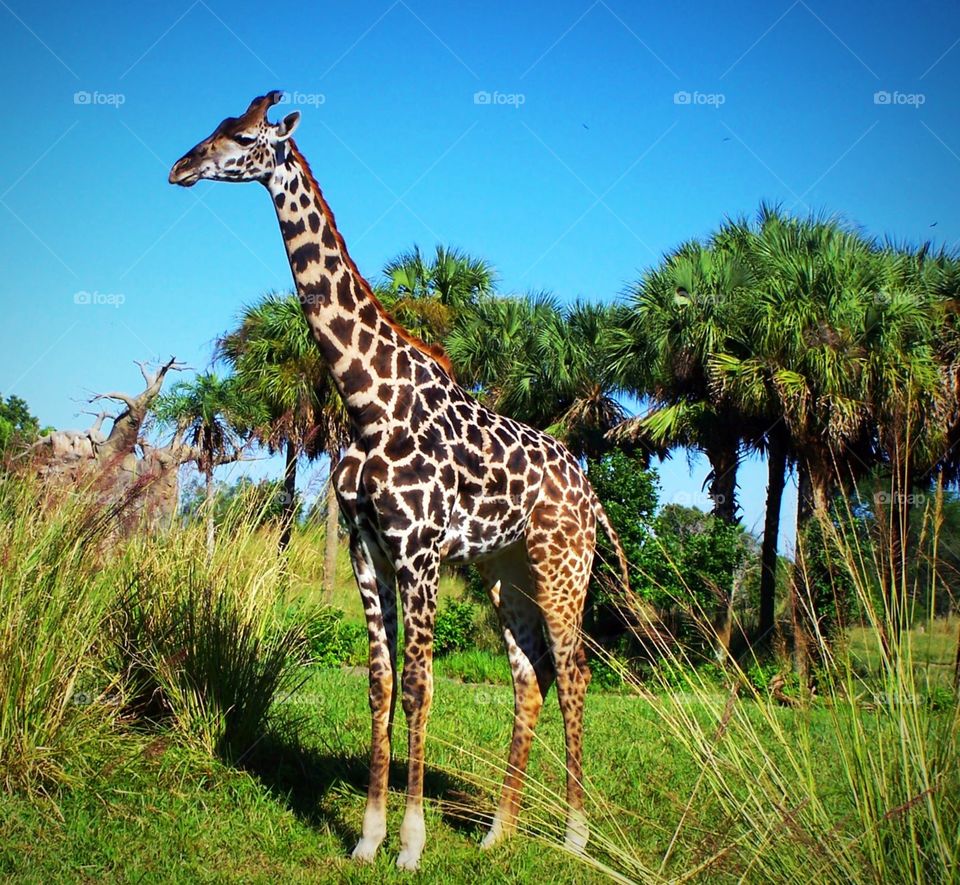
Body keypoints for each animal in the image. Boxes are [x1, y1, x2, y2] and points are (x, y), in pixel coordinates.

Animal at [169, 91, 632, 872]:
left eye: (243, 136)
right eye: (215, 125)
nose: (179, 167)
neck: (365, 400)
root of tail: (592, 493)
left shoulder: (419, 549)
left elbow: (419, 686)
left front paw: (411, 845)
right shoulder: (367, 545)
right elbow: (380, 684)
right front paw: (367, 837)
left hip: (563, 565)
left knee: (574, 673)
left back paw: (574, 836)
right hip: (505, 572)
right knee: (528, 678)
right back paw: (498, 831)